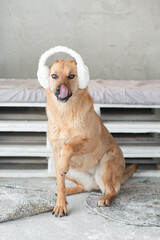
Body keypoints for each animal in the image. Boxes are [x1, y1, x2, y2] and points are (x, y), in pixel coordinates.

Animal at [44, 59, 138, 217]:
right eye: (54, 76)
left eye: (71, 76)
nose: (58, 89)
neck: (65, 113)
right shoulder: (57, 152)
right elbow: (61, 182)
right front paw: (61, 205)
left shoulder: (91, 142)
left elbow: (70, 146)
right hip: (73, 173)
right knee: (84, 187)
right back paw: (69, 190)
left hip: (106, 164)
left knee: (112, 191)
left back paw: (105, 198)